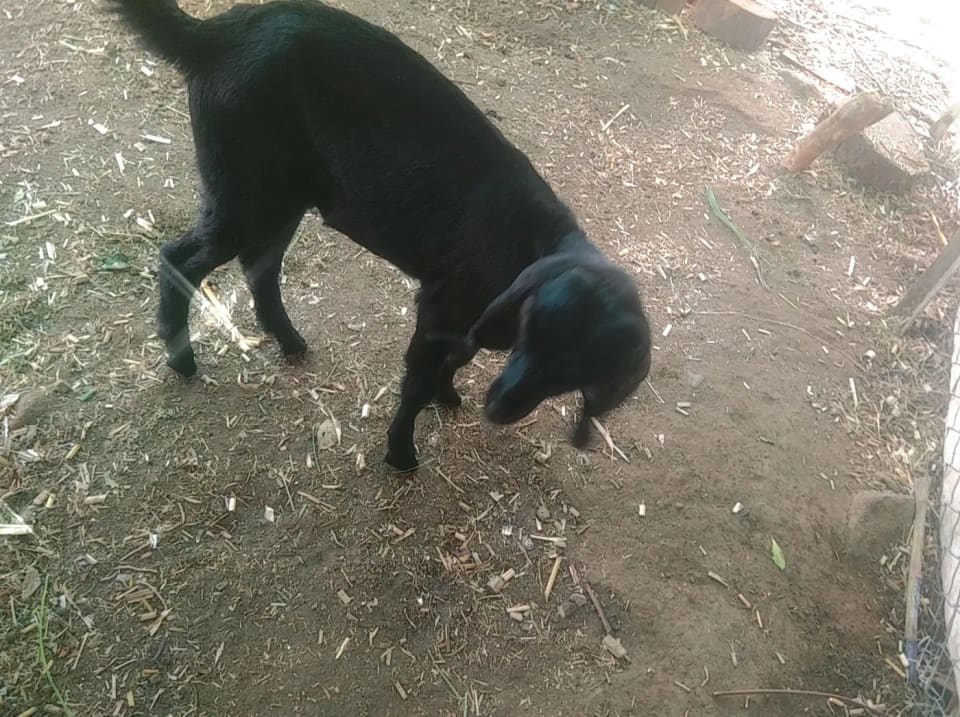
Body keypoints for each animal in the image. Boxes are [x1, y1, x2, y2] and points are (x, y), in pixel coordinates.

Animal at [109, 0, 653, 472]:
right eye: (530, 328)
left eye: (576, 369)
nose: (497, 406)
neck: (531, 244)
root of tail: (216, 34)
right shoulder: (439, 307)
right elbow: (417, 381)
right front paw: (401, 452)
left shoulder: (467, 317)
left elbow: (457, 357)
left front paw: (448, 396)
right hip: (244, 192)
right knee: (181, 257)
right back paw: (182, 359)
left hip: (283, 197)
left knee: (260, 266)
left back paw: (288, 340)